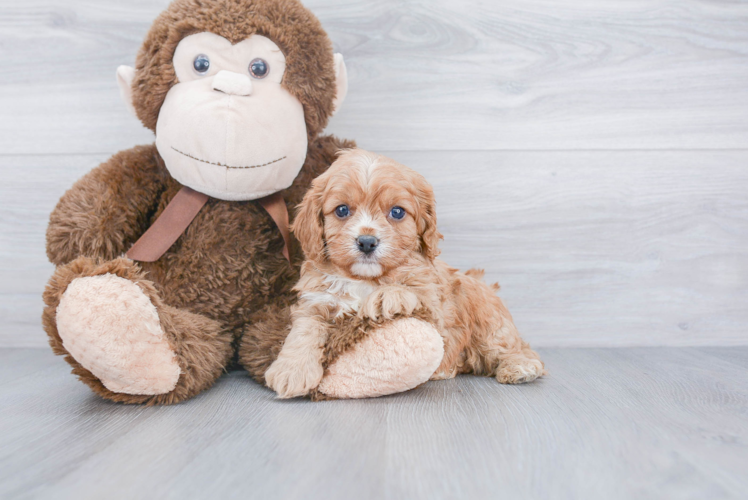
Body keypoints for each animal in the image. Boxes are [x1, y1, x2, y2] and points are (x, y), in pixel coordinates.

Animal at [266, 148, 548, 398]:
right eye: (342, 210)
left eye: (397, 212)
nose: (367, 242)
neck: (364, 278)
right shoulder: (316, 301)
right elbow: (304, 329)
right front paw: (291, 371)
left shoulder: (435, 309)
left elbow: (408, 291)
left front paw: (383, 297)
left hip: (487, 320)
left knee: (515, 348)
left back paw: (519, 367)